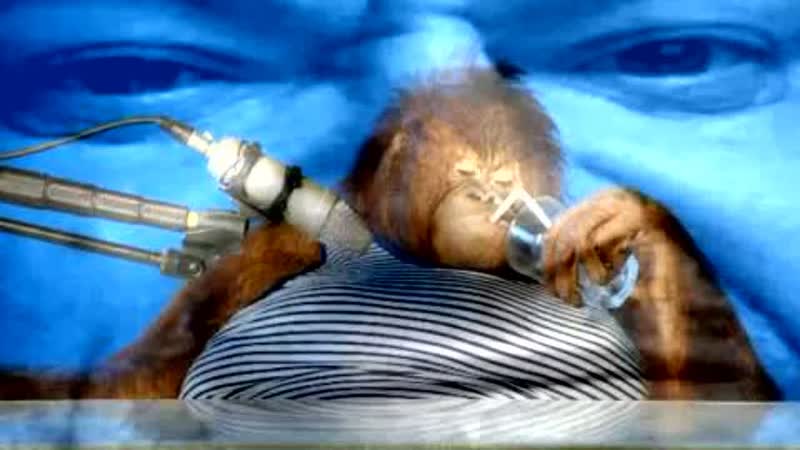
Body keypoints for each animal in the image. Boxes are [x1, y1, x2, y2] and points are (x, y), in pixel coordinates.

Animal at [0, 66, 779, 401]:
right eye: (469, 181)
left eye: (505, 176)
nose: (501, 203)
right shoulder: (258, 260)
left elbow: (725, 395)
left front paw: (619, 227)